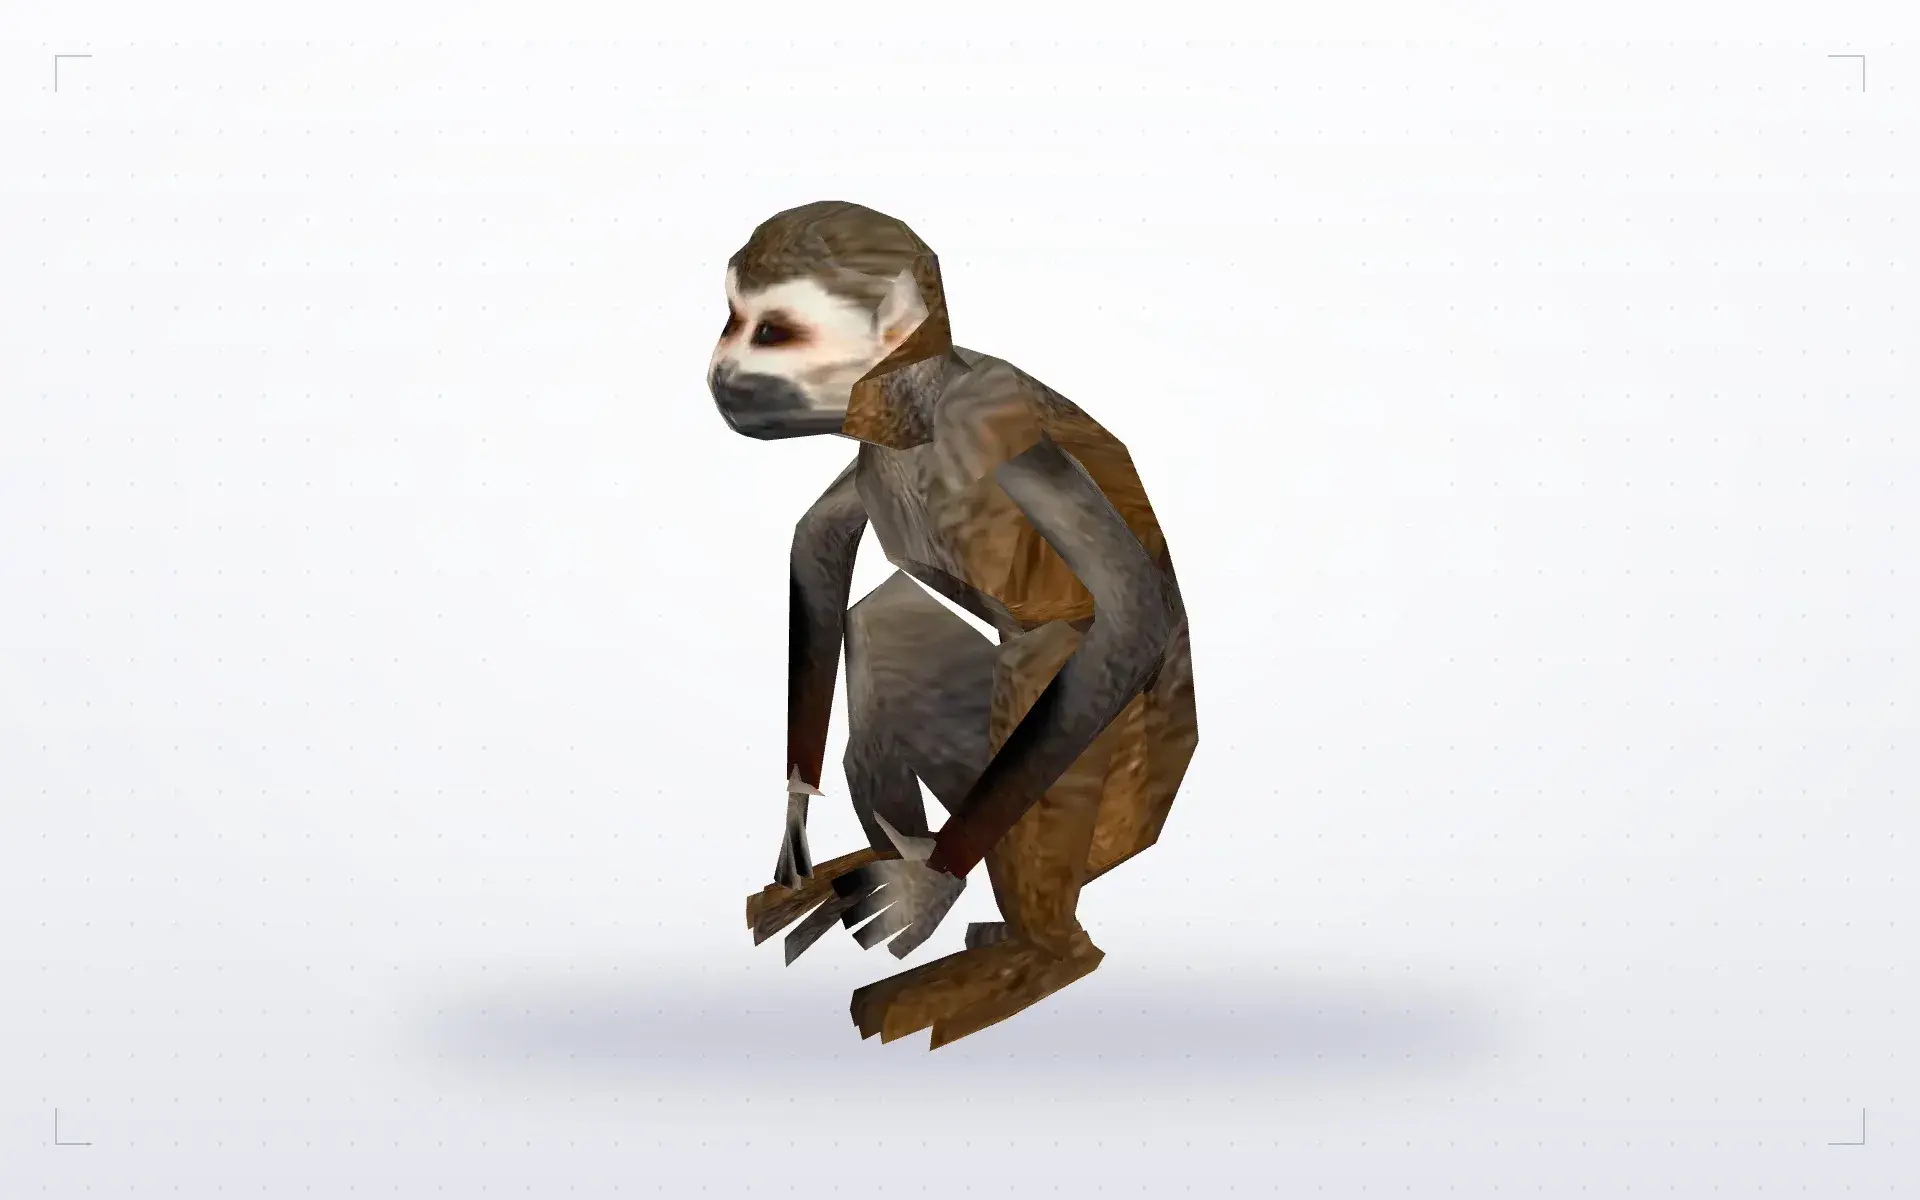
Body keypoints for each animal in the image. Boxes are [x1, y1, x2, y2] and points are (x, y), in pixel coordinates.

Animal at [711, 201, 1198, 1050]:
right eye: (730, 320)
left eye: (769, 332)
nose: (718, 367)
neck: (915, 412)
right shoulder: (875, 448)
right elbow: (819, 538)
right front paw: (798, 809)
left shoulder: (989, 419)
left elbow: (1133, 611)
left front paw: (930, 882)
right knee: (879, 621)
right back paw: (878, 858)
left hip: (1115, 795)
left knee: (1046, 653)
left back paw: (1037, 949)